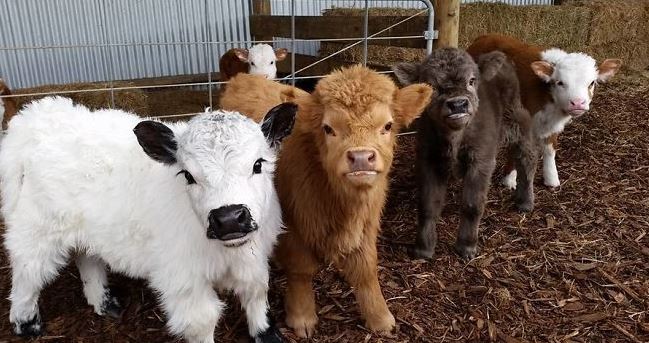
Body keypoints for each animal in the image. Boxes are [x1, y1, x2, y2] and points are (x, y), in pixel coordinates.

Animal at [0, 97, 296, 343]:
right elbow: (202, 321)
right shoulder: (183, 279)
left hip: (87, 232)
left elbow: (256, 291)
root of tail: (39, 116)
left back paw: (104, 303)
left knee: (87, 257)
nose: (229, 218)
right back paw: (26, 323)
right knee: (28, 272)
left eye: (258, 164)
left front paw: (266, 334)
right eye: (188, 175)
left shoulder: (255, 258)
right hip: (37, 232)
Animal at [394, 48, 536, 260]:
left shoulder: (481, 160)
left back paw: (525, 201)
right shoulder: (428, 159)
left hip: (518, 120)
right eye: (432, 85)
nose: (458, 104)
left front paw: (467, 246)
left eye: (472, 80)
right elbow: (428, 205)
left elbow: (472, 205)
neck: (455, 137)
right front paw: (423, 248)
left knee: (527, 157)